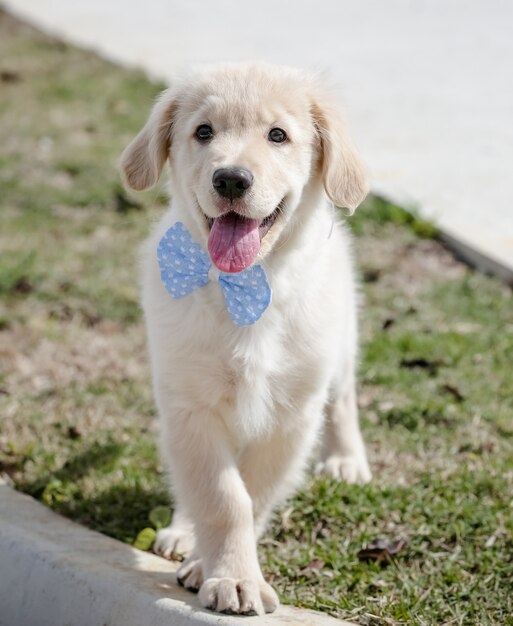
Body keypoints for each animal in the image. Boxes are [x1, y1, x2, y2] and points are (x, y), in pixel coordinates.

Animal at [122, 63, 370, 616]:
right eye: (203, 132)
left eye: (277, 135)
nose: (231, 178)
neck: (247, 284)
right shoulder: (190, 408)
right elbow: (222, 497)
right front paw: (230, 574)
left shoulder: (291, 415)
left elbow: (252, 496)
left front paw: (227, 571)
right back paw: (181, 531)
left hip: (340, 347)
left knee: (343, 398)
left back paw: (346, 459)